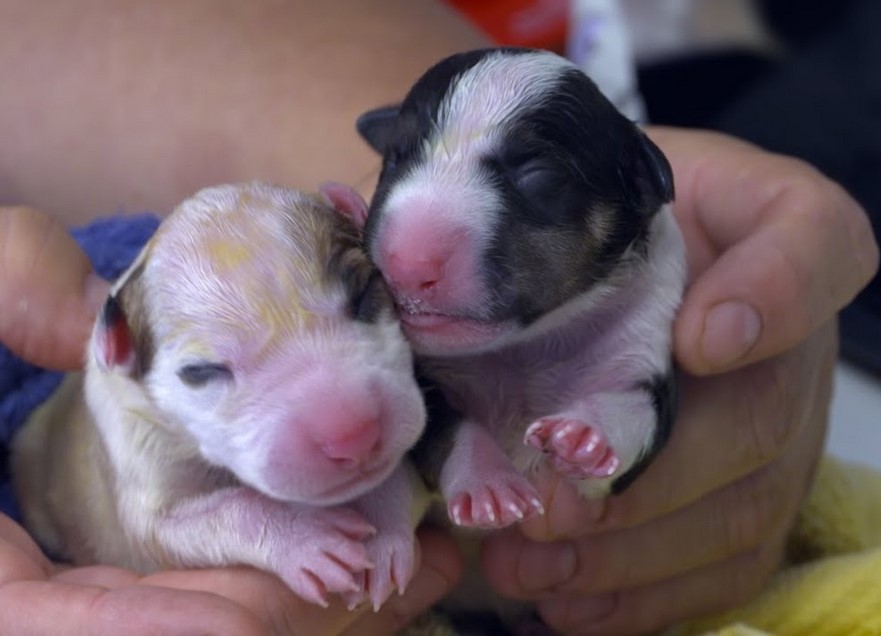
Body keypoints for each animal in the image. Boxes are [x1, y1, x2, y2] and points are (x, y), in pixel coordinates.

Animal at [12, 181, 426, 608]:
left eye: (364, 295)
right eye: (200, 372)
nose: (353, 435)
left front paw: (383, 534)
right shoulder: (135, 449)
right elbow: (175, 526)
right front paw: (307, 536)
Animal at [354, 47, 684, 528]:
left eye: (537, 174)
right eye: (395, 158)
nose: (406, 265)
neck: (525, 346)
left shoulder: (641, 348)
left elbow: (642, 413)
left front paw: (585, 435)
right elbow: (444, 425)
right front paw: (489, 483)